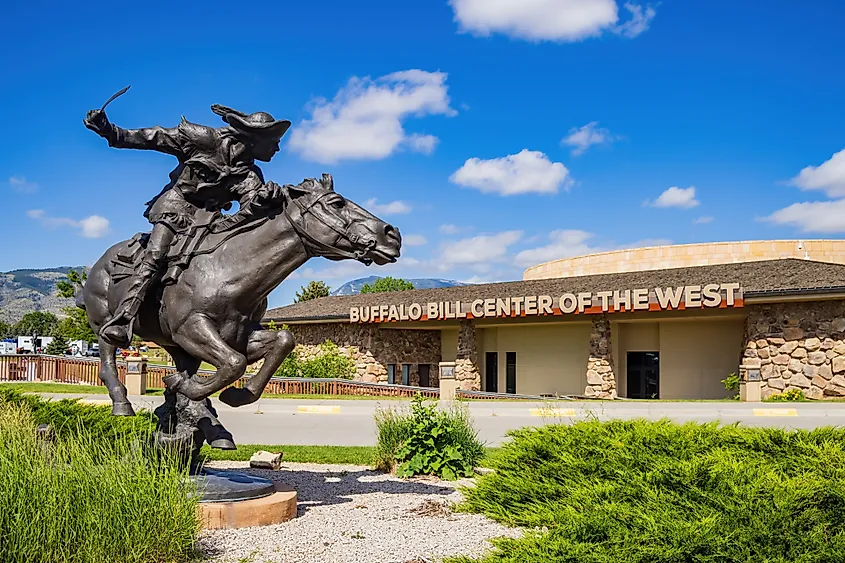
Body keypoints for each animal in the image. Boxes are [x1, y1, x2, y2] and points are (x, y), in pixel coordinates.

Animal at [81, 174, 402, 438]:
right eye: (337, 203)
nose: (393, 234)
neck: (227, 268)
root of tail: (97, 266)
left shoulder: (239, 333)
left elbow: (282, 341)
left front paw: (236, 396)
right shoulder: (192, 328)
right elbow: (234, 363)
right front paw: (190, 388)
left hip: (176, 346)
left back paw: (207, 422)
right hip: (105, 325)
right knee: (108, 361)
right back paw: (123, 403)